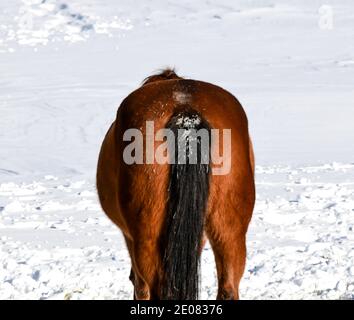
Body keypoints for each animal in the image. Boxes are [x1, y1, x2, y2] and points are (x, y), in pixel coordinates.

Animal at [96, 68, 254, 300]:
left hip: (148, 240)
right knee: (228, 287)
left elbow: (139, 287)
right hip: (229, 233)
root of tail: (185, 110)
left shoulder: (131, 239)